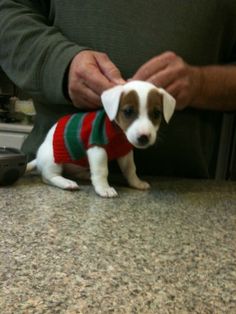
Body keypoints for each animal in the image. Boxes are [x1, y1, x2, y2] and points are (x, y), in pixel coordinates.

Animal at [27, 81, 175, 199]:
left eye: (157, 113)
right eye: (128, 111)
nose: (144, 137)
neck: (117, 132)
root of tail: (38, 158)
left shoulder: (124, 152)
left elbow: (130, 169)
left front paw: (136, 182)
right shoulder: (97, 149)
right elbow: (101, 171)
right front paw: (104, 188)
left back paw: (86, 175)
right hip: (52, 159)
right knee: (48, 176)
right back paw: (66, 182)